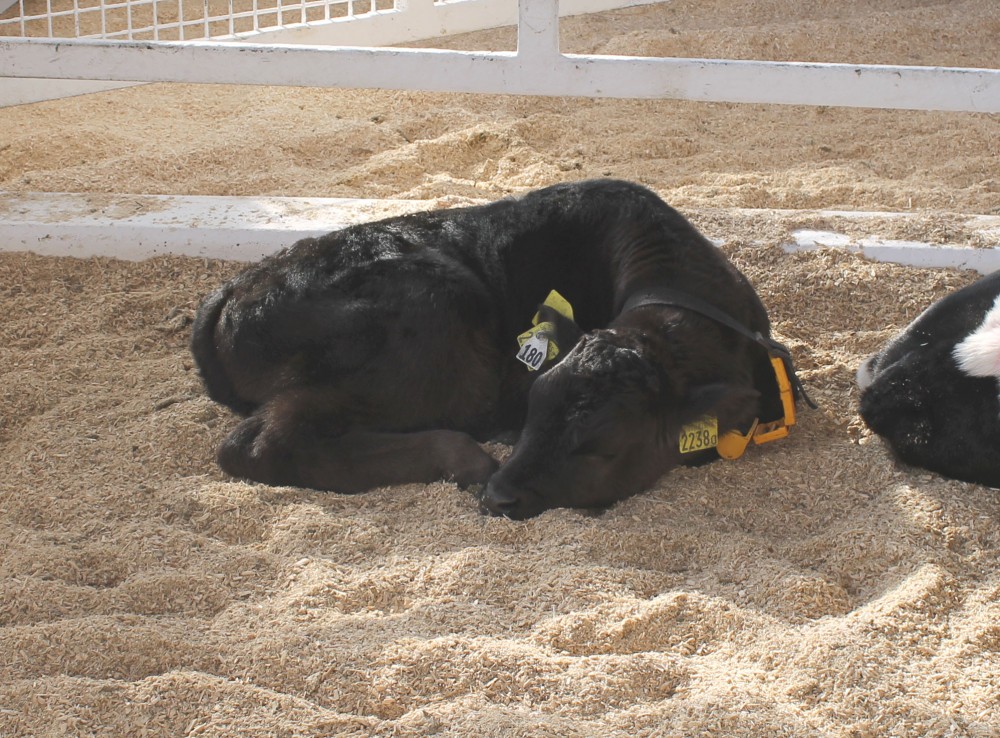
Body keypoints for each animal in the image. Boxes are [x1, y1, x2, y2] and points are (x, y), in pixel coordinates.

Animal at [191, 178, 808, 516]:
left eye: (603, 445)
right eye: (535, 409)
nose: (501, 497)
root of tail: (237, 288)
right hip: (432, 335)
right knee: (263, 443)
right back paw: (460, 455)